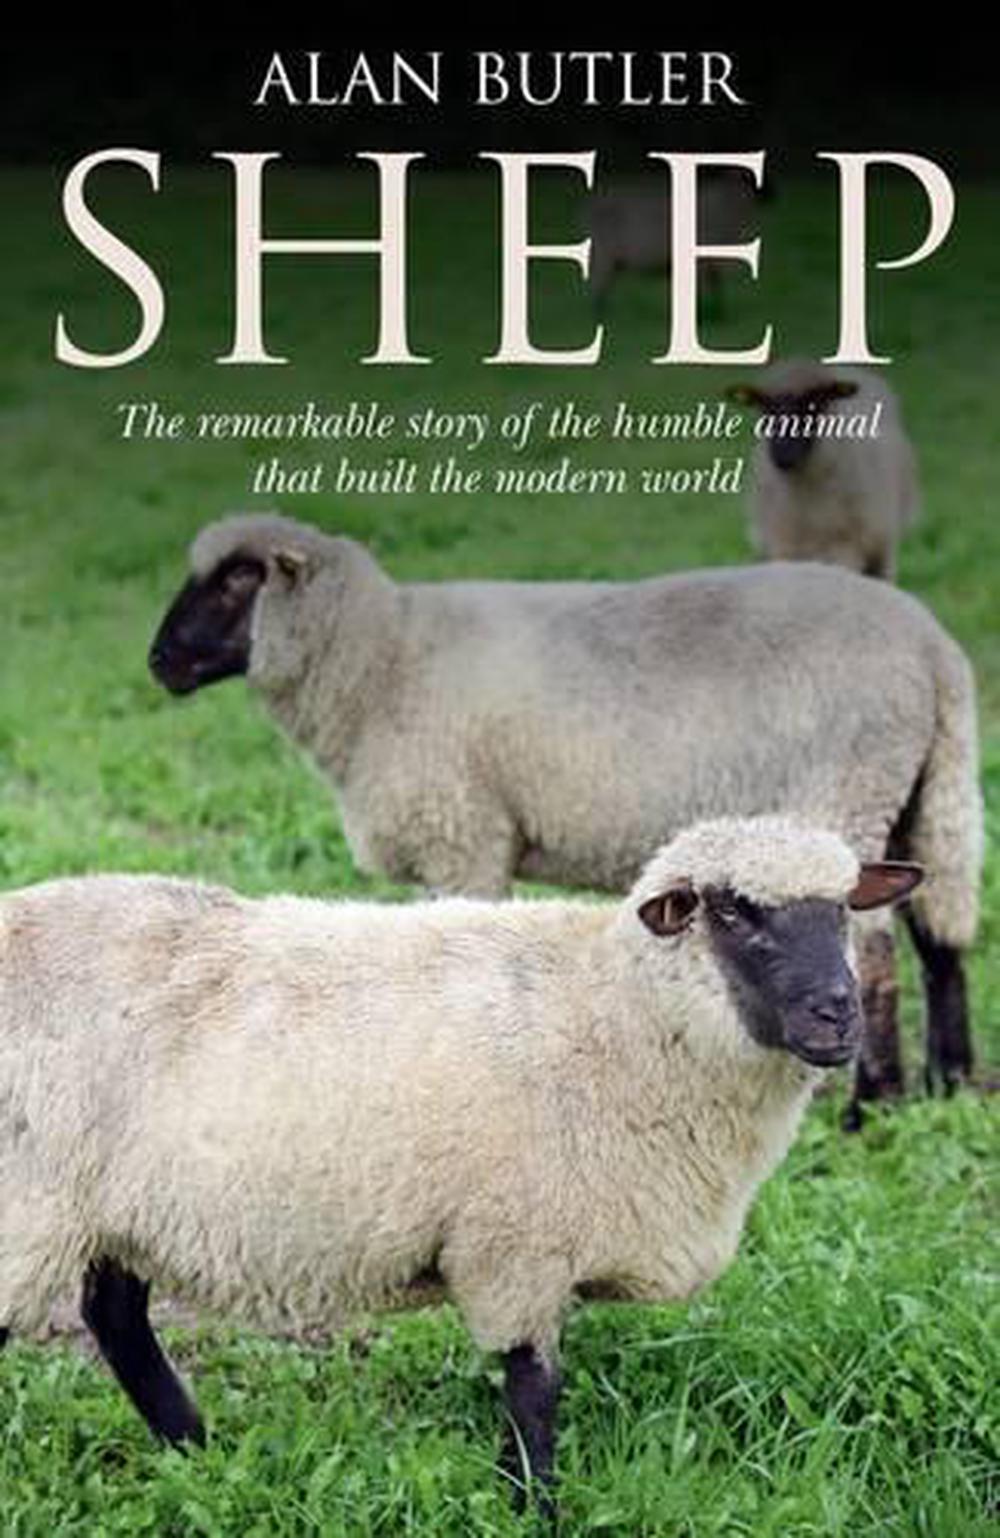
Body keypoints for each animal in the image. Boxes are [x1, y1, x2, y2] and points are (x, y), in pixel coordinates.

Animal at [0, 817, 922, 1515]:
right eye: (733, 913)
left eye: (843, 910)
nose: (838, 1015)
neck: (614, 1017)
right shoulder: (518, 1244)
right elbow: (533, 1387)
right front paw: (534, 1506)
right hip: (32, 1207)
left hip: (112, 1205)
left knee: (116, 1316)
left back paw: (193, 1450)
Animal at [149, 513, 982, 1126]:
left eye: (237, 579)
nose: (159, 662)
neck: (381, 662)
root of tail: (934, 650)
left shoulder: (466, 837)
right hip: (918, 795)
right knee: (938, 934)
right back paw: (950, 1083)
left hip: (843, 791)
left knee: (872, 950)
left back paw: (872, 1107)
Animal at [586, 169, 765, 310]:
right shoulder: (703, 262)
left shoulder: (710, 263)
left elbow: (716, 288)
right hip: (604, 253)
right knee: (598, 286)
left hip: (614, 260)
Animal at [728, 359, 920, 580]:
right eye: (764, 408)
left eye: (815, 404)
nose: (782, 456)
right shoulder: (782, 545)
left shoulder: (845, 547)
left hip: (882, 541)